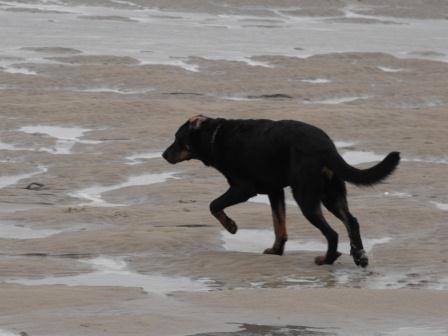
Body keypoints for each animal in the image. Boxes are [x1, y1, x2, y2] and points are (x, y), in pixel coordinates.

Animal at [163, 116, 400, 268]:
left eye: (177, 138)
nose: (164, 155)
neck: (215, 136)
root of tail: (325, 147)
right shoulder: (275, 191)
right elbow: (279, 225)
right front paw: (276, 251)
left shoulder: (242, 189)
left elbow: (214, 205)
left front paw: (230, 226)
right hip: (331, 195)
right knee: (351, 221)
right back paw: (359, 255)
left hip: (305, 197)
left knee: (332, 233)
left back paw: (327, 259)